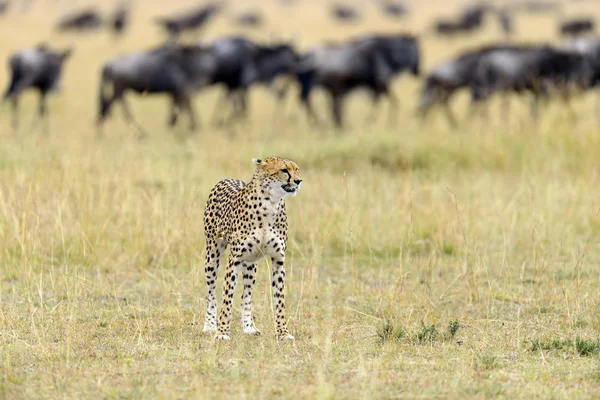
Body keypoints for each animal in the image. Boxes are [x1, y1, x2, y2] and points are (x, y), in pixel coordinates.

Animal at [204, 156, 302, 340]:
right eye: (284, 170)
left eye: (296, 169)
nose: (299, 181)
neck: (270, 203)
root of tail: (227, 179)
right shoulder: (234, 260)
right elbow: (227, 298)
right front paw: (222, 332)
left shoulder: (278, 260)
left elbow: (279, 301)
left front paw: (283, 333)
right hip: (212, 255)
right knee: (211, 291)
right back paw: (210, 325)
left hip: (251, 265)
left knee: (246, 294)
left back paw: (249, 327)